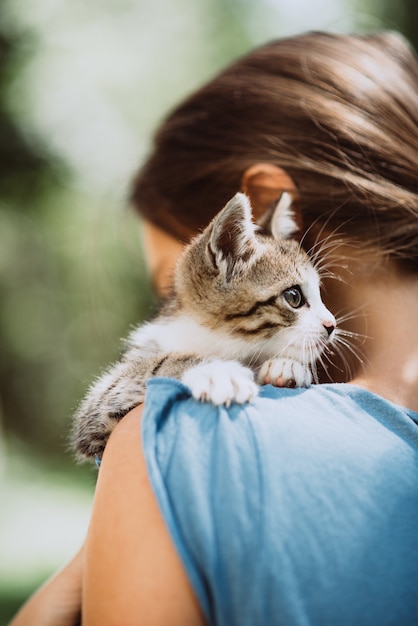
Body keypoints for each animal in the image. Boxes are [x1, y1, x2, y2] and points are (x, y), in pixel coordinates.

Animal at [72, 193, 336, 460]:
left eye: (319, 293)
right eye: (293, 296)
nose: (331, 324)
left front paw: (286, 365)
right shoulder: (95, 413)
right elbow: (144, 371)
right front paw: (217, 371)